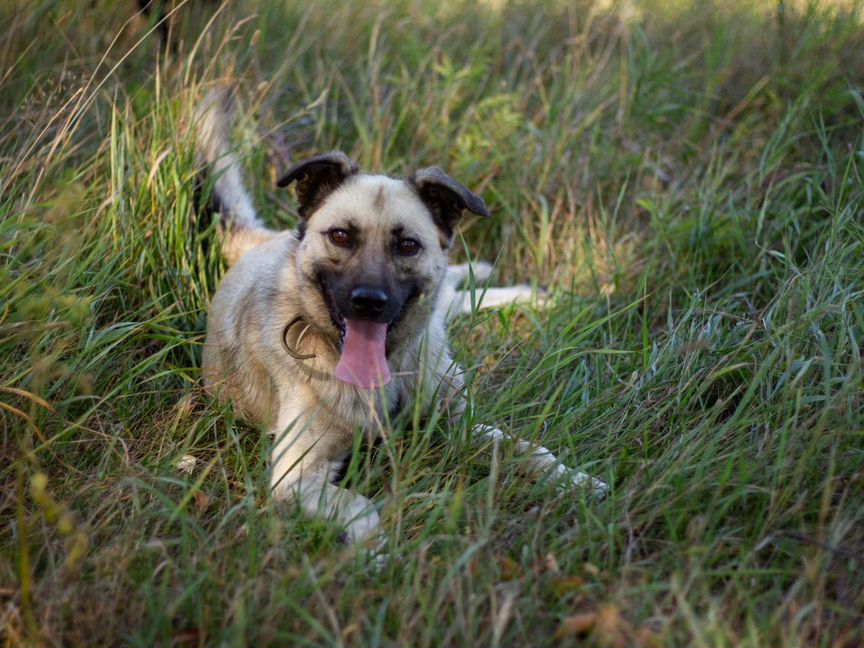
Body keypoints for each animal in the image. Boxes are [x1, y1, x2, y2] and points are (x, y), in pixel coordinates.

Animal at [195, 90, 604, 548]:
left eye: (407, 245)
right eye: (340, 236)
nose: (369, 302)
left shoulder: (459, 422)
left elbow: (528, 449)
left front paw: (574, 481)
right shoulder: (296, 476)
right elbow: (363, 509)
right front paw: (375, 552)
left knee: (455, 291)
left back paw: (531, 290)